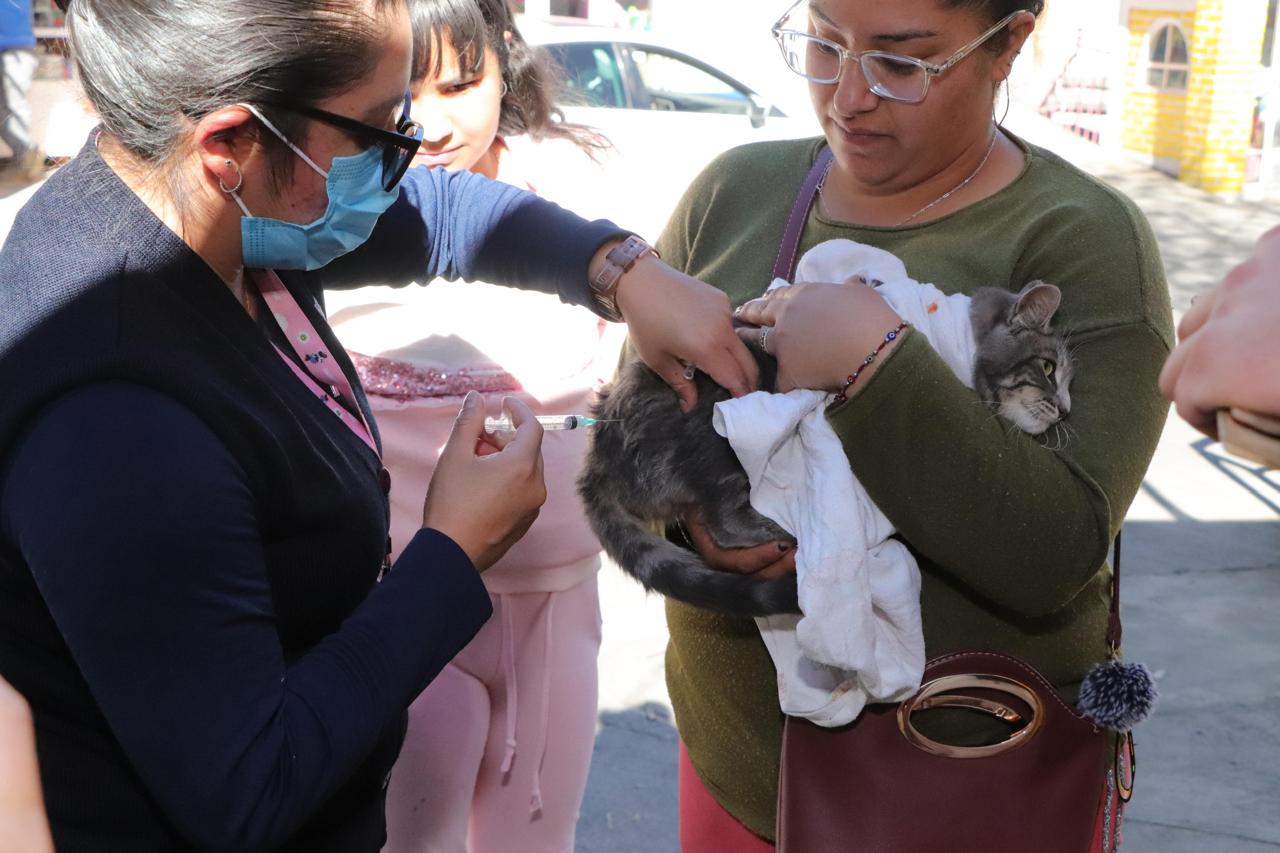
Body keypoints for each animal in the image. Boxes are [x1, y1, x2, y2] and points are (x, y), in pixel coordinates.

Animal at [581, 281, 1070, 614]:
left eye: (1066, 378)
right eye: (1048, 368)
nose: (1065, 409)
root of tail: (600, 453)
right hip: (720, 431)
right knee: (722, 520)